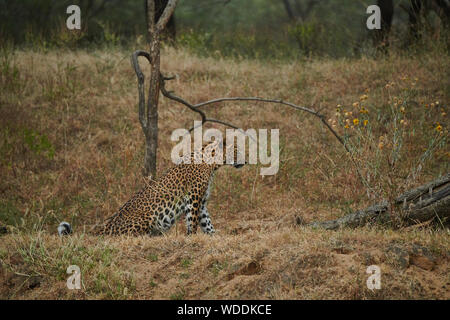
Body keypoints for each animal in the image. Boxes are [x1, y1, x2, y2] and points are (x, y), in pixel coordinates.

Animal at [59, 139, 246, 236]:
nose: (245, 160)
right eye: (236, 151)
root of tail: (104, 227)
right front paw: (191, 237)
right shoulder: (193, 198)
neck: (212, 164)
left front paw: (214, 236)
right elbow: (192, 221)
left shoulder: (202, 202)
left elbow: (206, 222)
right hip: (147, 219)